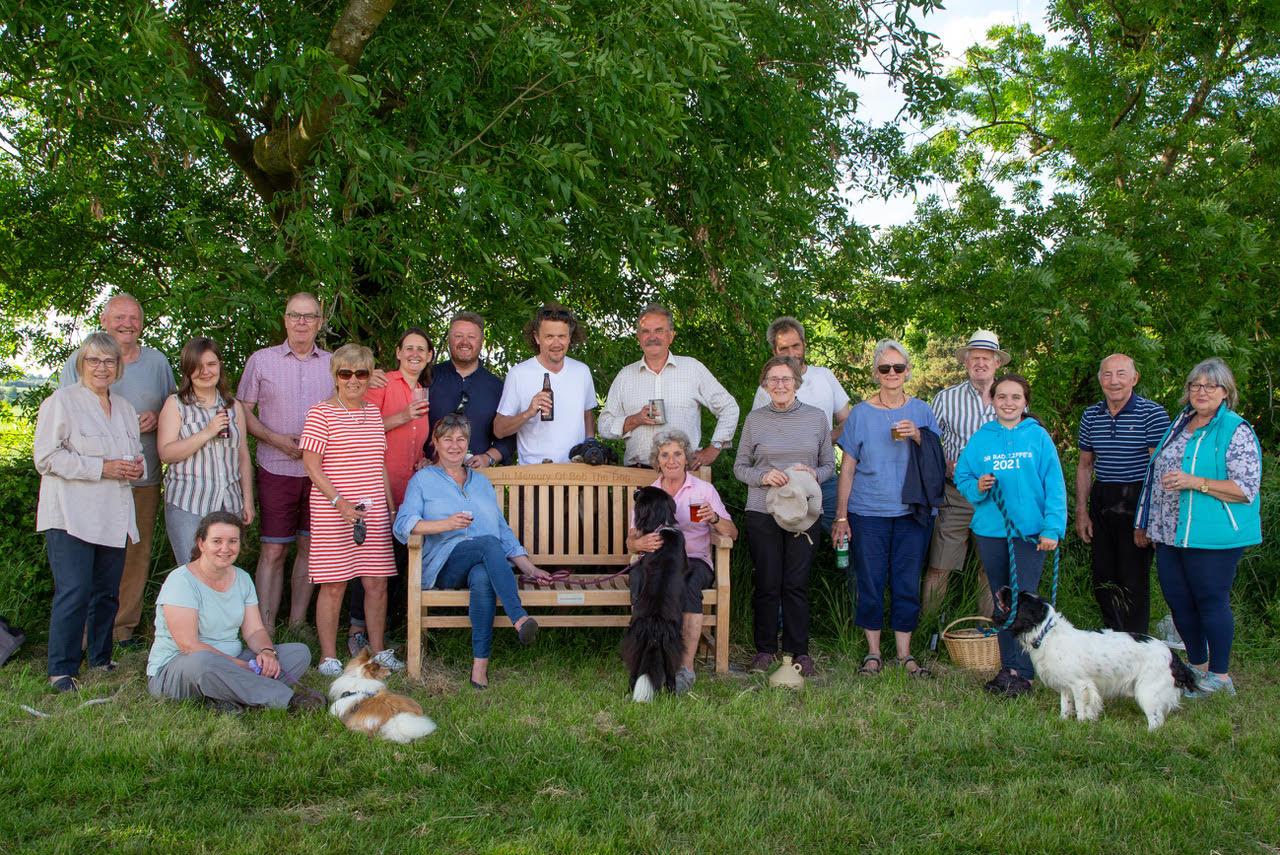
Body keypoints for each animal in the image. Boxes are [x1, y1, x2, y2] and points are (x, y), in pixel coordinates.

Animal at [622, 486, 691, 701]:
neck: (662, 526)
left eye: (641, 493)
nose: (636, 488)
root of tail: (655, 626)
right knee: (667, 677)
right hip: (670, 646)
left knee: (635, 673)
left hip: (639, 642)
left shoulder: (638, 567)